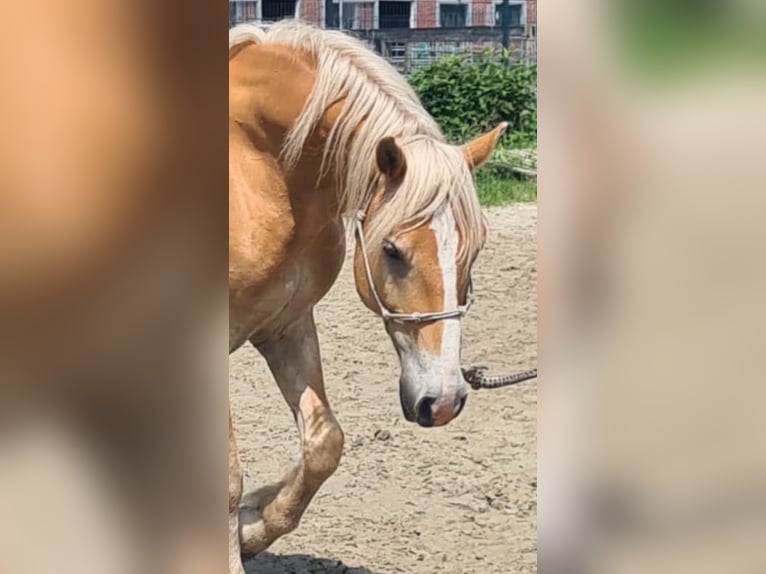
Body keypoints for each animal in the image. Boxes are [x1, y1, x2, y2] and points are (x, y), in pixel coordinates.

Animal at [228, 20, 507, 573]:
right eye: (393, 250)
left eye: (477, 248)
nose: (443, 401)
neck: (258, 170)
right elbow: (225, 474)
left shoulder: (285, 324)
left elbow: (324, 444)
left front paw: (253, 526)